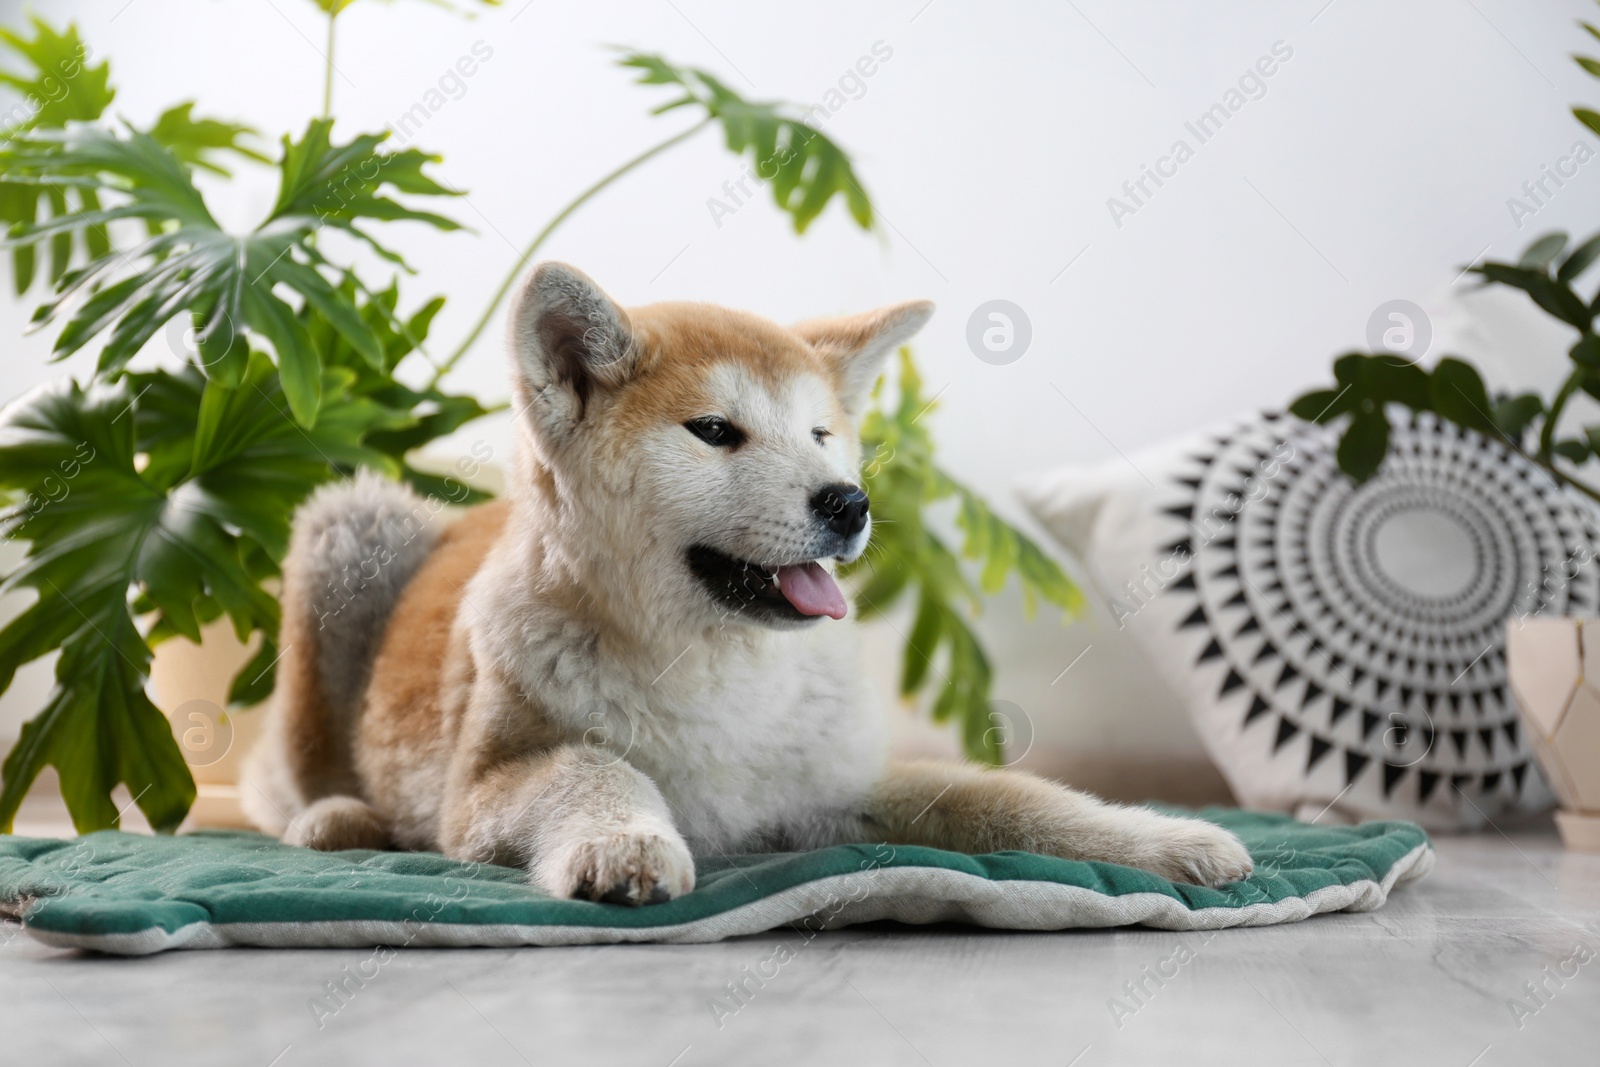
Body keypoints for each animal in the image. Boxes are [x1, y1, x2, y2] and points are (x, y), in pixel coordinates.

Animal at [243, 265, 1254, 902]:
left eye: (820, 434)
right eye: (716, 432)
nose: (848, 501)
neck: (715, 667)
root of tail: (467, 512)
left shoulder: (843, 785)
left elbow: (1012, 801)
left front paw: (1163, 838)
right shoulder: (480, 794)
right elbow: (591, 764)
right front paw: (625, 838)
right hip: (347, 526)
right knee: (283, 778)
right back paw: (336, 816)